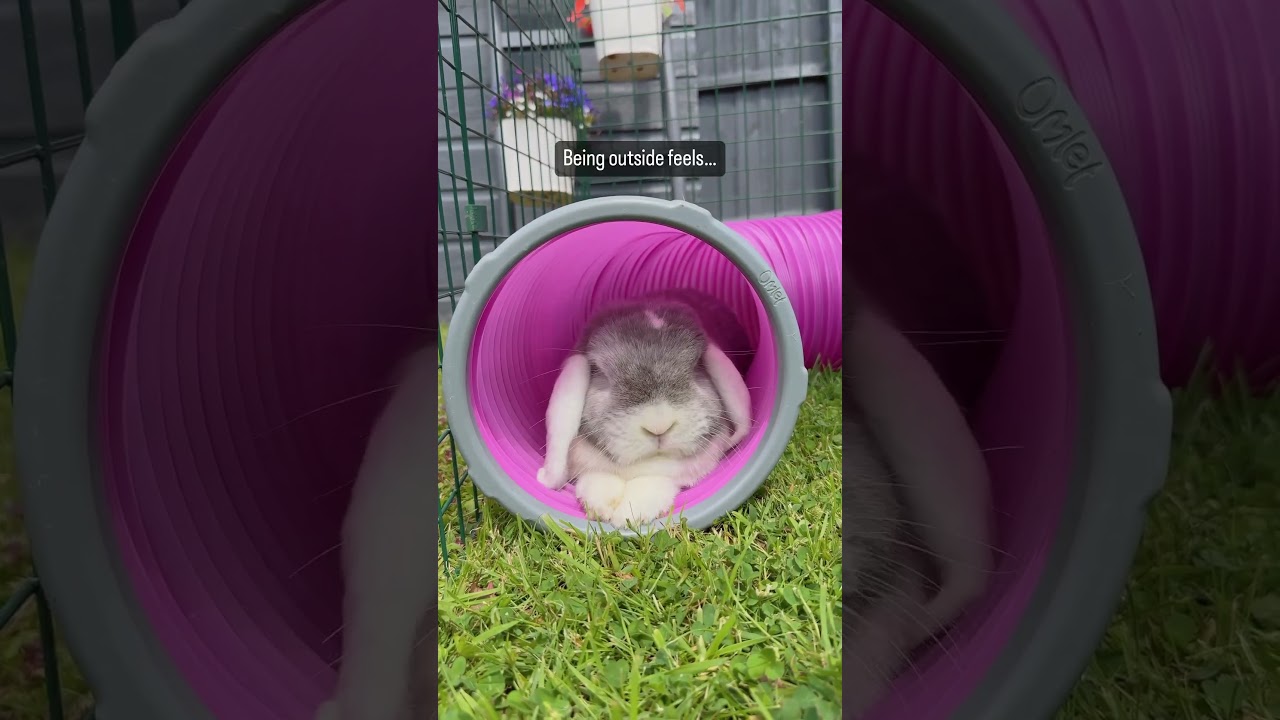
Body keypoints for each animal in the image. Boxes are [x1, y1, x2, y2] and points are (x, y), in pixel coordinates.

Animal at [536, 289, 755, 528]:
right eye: (599, 372)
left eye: (698, 365)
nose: (658, 426)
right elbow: (595, 479)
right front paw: (601, 507)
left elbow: (655, 484)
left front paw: (629, 516)